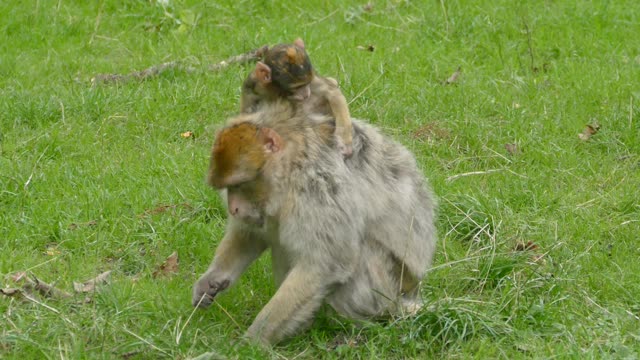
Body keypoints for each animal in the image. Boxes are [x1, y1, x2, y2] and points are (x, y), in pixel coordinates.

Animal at [192, 100, 438, 344]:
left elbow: (325, 263)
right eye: (228, 188)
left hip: (381, 292)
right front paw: (212, 279)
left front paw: (252, 341)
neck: (292, 164)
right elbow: (251, 234)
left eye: (240, 184)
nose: (233, 207)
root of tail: (409, 297)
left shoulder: (318, 188)